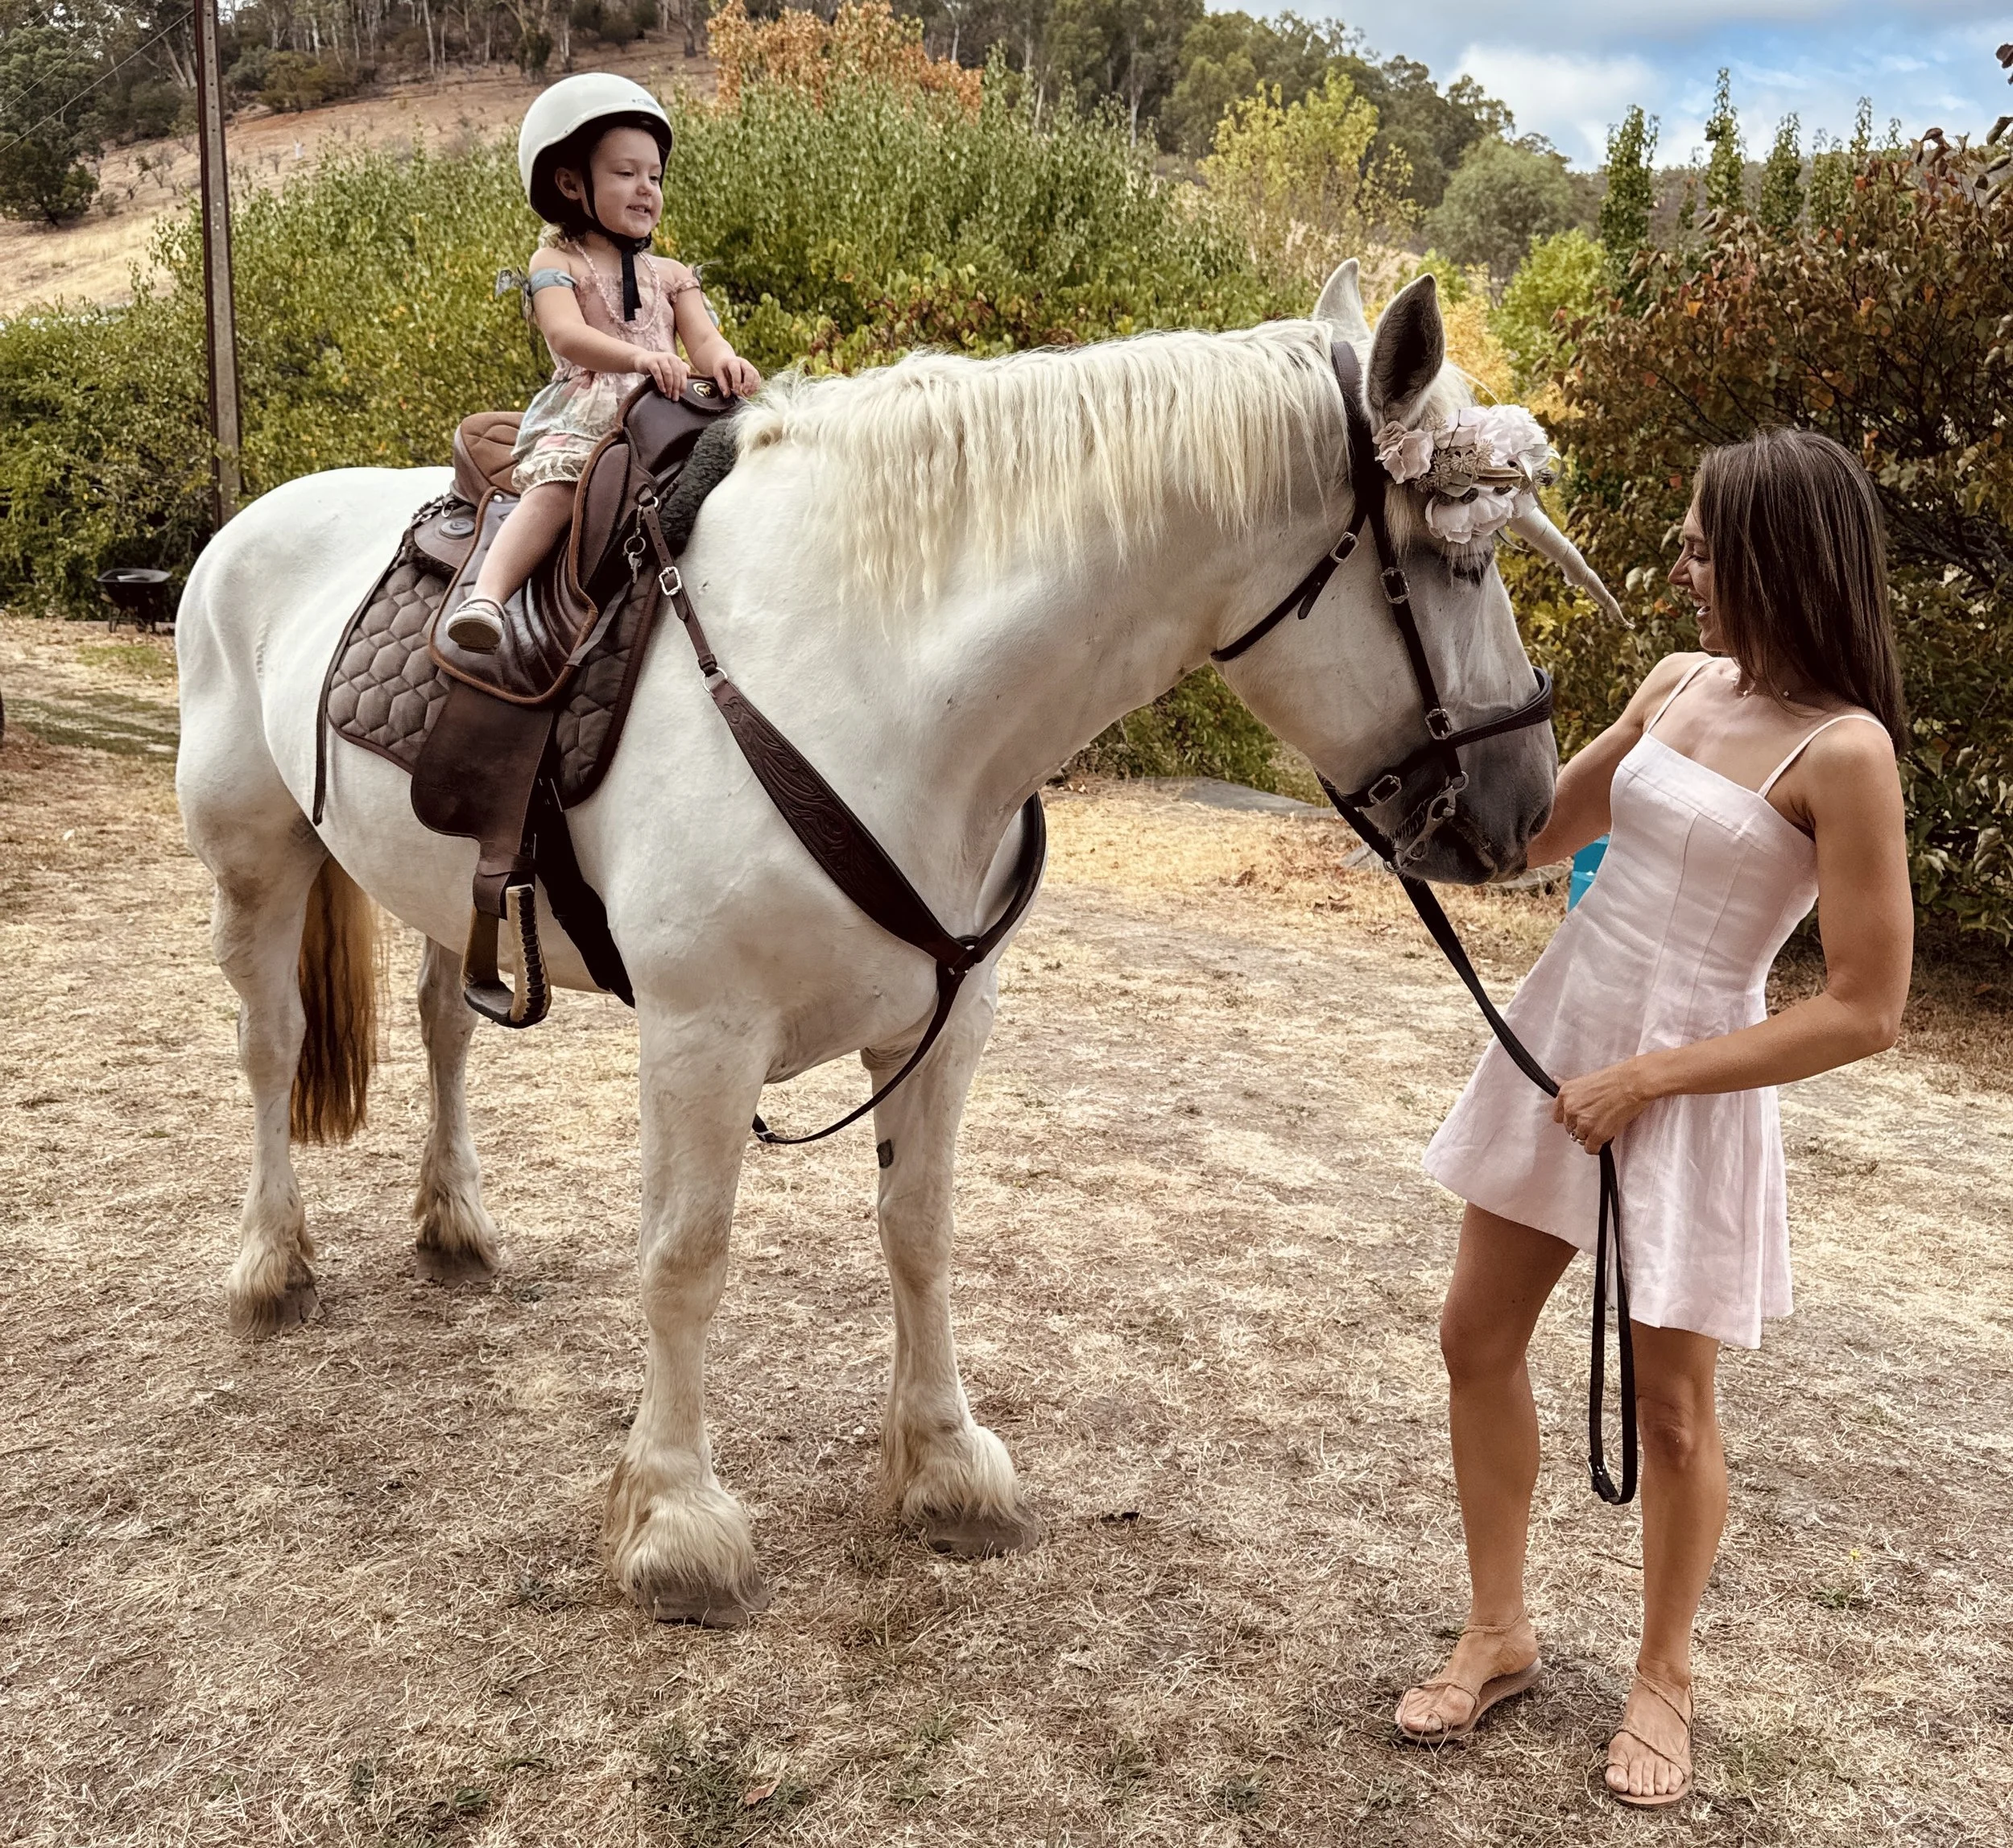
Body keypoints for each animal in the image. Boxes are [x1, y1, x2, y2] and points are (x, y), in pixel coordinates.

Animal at [176, 262, 1603, 1625]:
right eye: (1459, 560)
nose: (1527, 804)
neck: (875, 679)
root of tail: (252, 521)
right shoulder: (700, 1036)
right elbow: (685, 1260)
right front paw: (677, 1521)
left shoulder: (945, 1024)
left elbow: (918, 1230)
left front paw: (945, 1463)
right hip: (256, 862)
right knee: (269, 1047)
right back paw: (268, 1263)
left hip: (439, 889)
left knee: (442, 1024)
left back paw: (454, 1222)